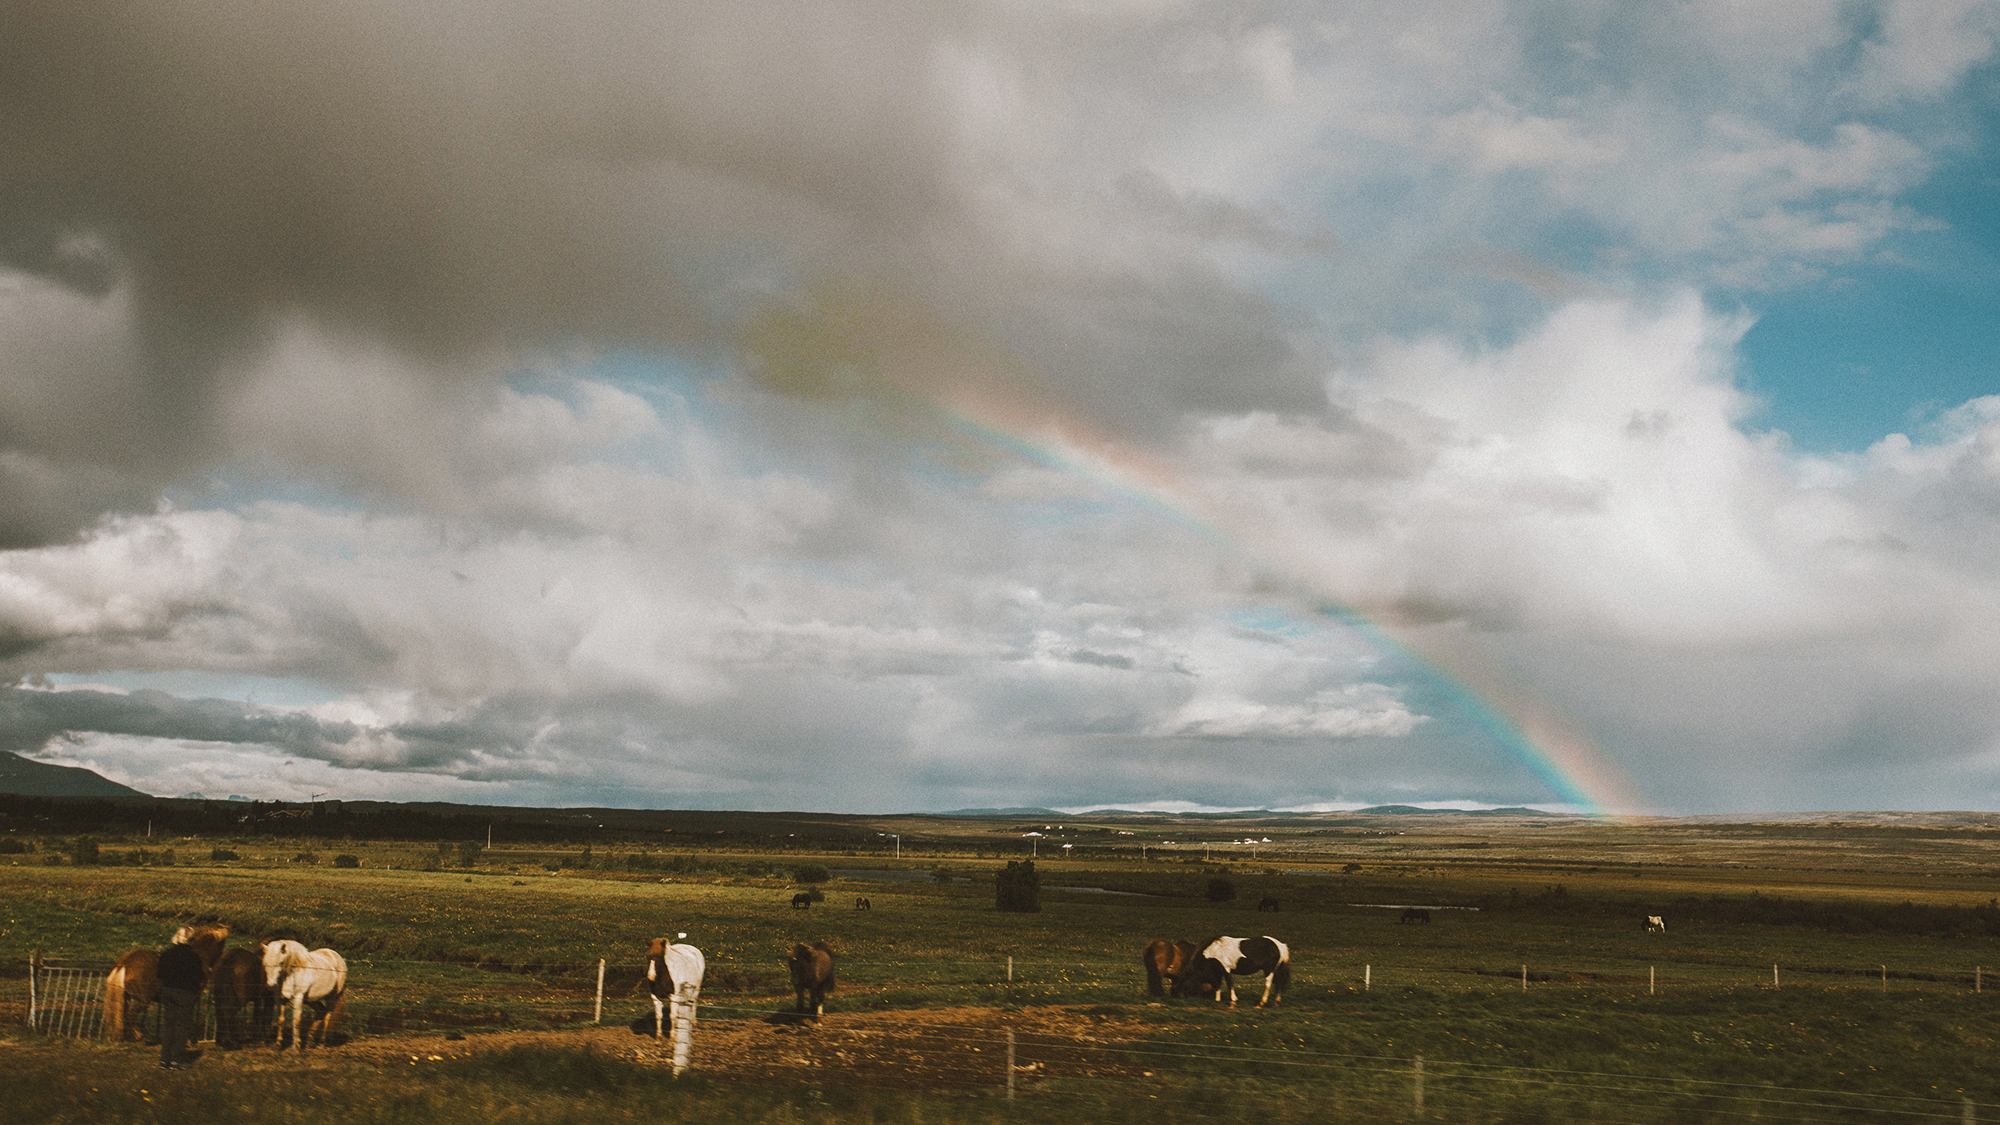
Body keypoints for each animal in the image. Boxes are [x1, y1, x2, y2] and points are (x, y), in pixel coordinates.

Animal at [644, 932, 708, 1072]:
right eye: (648, 956)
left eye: (659, 957)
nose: (650, 976)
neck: (664, 974)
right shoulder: (655, 998)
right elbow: (659, 1016)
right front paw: (658, 1039)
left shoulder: (674, 997)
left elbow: (672, 1016)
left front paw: (671, 1039)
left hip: (695, 990)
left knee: (693, 1004)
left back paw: (693, 1022)